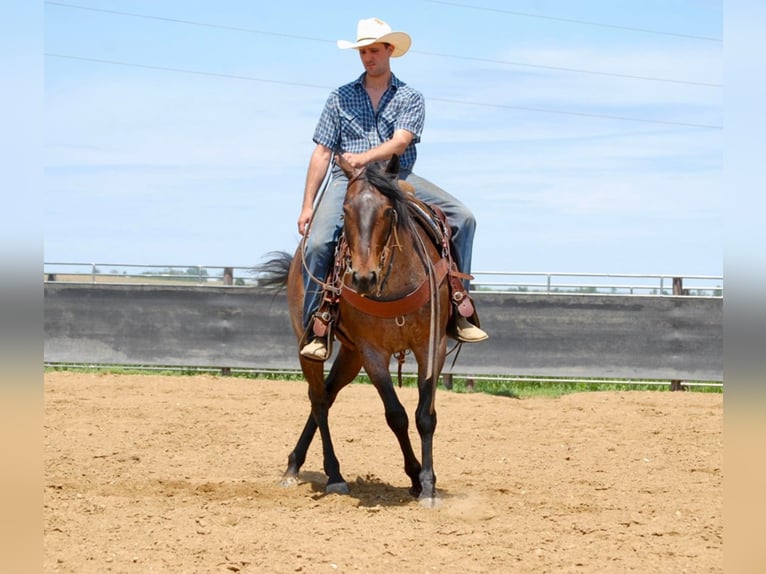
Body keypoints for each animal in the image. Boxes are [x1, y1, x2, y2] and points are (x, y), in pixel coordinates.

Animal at [258, 155, 452, 506]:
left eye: (388, 211)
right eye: (346, 210)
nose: (363, 278)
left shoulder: (432, 345)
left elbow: (425, 415)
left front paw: (427, 485)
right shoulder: (373, 353)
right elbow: (397, 415)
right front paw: (415, 475)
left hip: (350, 356)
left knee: (328, 394)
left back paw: (295, 464)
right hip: (310, 346)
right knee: (319, 400)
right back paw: (332, 475)